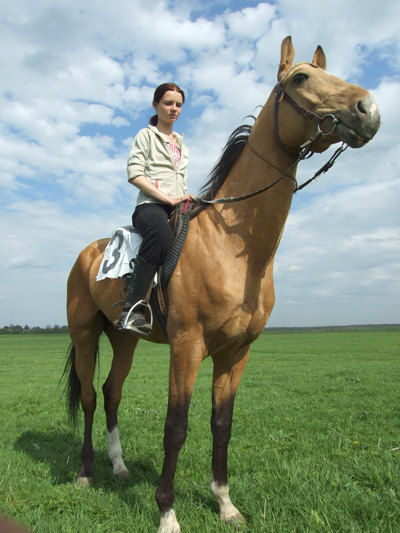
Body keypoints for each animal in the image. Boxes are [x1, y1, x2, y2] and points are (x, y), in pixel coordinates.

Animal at [64, 35, 380, 528]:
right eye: (301, 78)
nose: (369, 109)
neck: (232, 248)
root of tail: (88, 253)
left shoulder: (236, 353)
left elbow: (221, 425)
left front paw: (226, 504)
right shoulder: (187, 347)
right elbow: (176, 428)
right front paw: (167, 513)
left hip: (125, 339)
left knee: (112, 392)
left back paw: (117, 467)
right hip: (83, 335)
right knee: (91, 399)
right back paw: (85, 473)